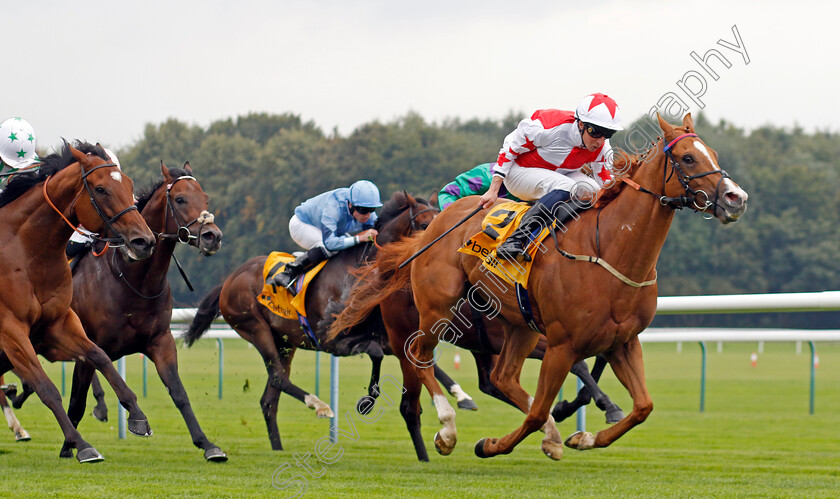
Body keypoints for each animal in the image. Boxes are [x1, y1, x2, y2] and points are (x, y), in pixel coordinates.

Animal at [0, 143, 156, 462]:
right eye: (101, 189)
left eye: (129, 184)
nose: (144, 241)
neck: (26, 252)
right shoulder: (11, 330)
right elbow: (46, 387)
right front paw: (81, 444)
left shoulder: (58, 323)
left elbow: (99, 355)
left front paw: (136, 415)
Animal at [185, 192, 440, 454]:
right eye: (424, 225)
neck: (360, 273)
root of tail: (229, 280)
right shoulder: (332, 340)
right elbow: (376, 353)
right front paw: (367, 402)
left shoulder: (385, 336)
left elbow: (399, 357)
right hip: (255, 328)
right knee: (278, 377)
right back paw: (319, 405)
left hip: (284, 342)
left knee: (269, 400)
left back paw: (279, 447)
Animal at [328, 114, 748, 460]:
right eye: (688, 159)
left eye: (711, 153)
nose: (736, 198)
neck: (609, 249)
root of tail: (434, 226)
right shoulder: (563, 344)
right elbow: (539, 410)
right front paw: (492, 444)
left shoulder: (622, 341)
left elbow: (643, 407)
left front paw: (583, 437)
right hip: (436, 310)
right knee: (419, 356)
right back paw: (447, 429)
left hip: (519, 325)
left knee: (501, 378)